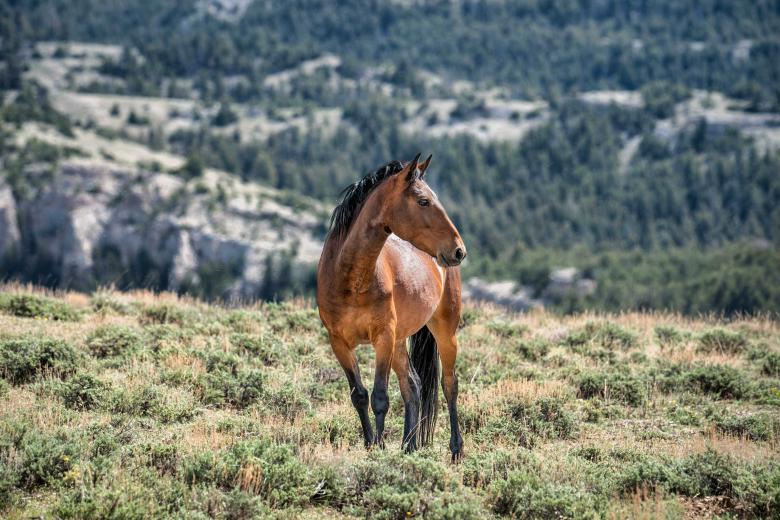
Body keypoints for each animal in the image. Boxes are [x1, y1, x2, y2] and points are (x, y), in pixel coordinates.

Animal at [316, 153, 467, 462]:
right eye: (423, 201)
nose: (459, 250)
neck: (350, 278)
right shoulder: (339, 342)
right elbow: (360, 395)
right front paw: (370, 443)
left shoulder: (382, 338)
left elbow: (380, 397)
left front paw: (379, 448)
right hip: (399, 341)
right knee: (413, 385)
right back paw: (409, 445)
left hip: (445, 331)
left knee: (449, 384)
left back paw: (456, 450)